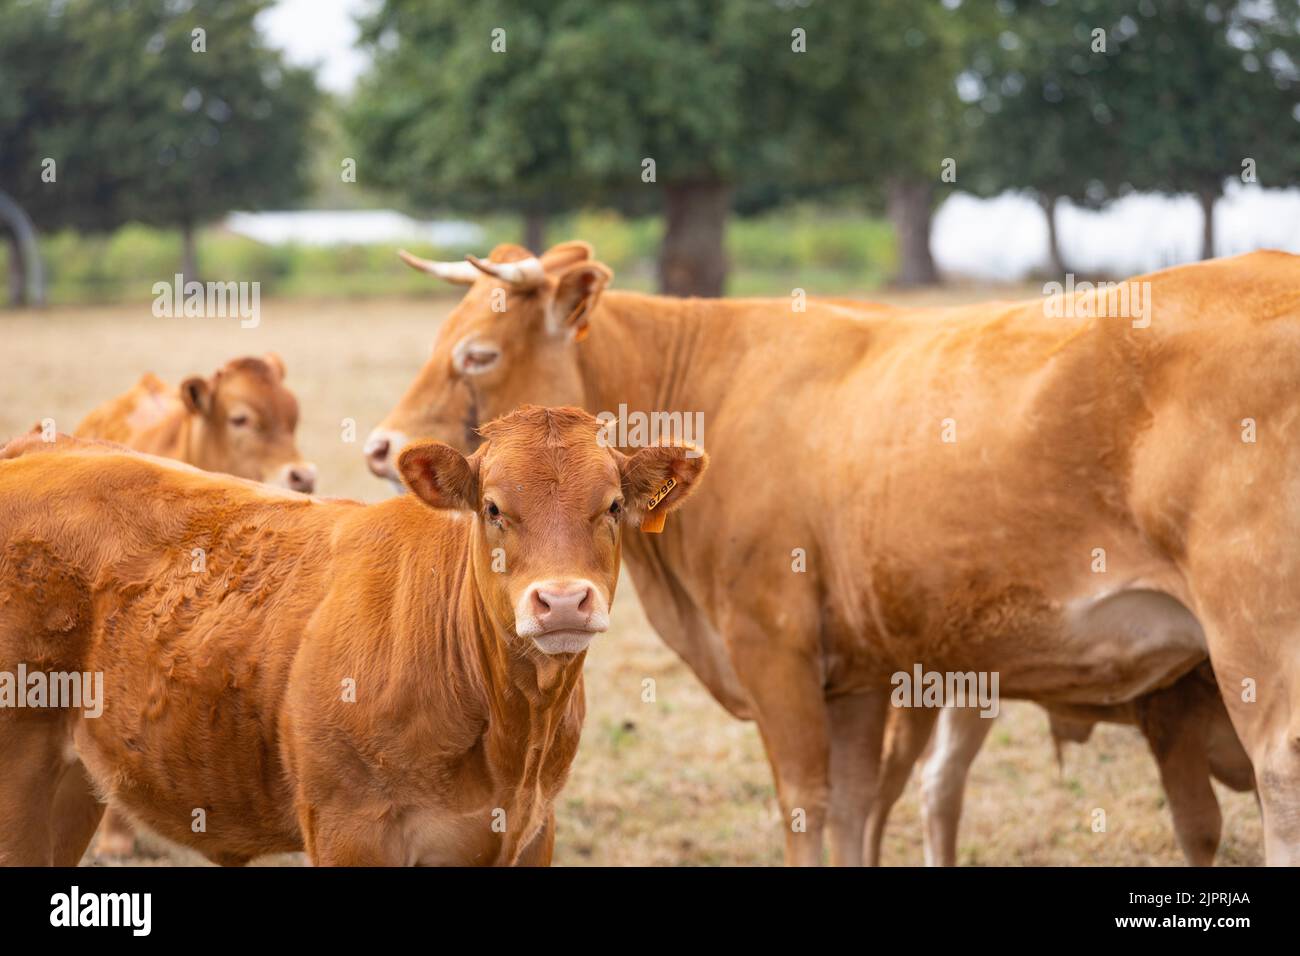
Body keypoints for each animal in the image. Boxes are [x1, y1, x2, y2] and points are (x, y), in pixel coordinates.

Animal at [0, 406, 706, 866]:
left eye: (612, 506)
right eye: (493, 508)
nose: (562, 600)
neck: (511, 733)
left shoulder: (534, 831)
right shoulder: (351, 830)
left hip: (70, 786)